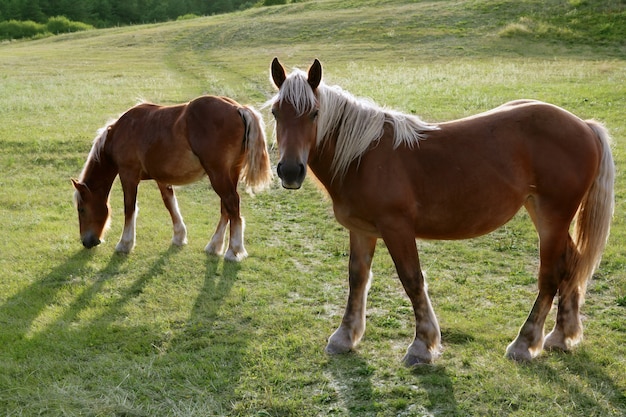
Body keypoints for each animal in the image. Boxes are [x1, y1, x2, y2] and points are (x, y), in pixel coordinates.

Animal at [71, 94, 270, 260]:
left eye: (81, 209)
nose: (87, 242)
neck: (122, 131)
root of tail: (238, 108)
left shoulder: (128, 175)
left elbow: (129, 208)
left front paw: (125, 244)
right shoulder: (162, 178)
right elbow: (170, 204)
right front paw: (179, 236)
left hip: (218, 175)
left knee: (232, 204)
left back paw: (233, 251)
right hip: (230, 173)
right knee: (226, 208)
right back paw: (214, 246)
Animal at [266, 58, 612, 364]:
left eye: (314, 113)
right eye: (275, 112)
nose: (290, 171)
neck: (362, 157)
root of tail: (585, 126)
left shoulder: (396, 228)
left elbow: (411, 279)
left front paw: (422, 346)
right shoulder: (362, 230)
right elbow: (357, 278)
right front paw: (344, 337)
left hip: (553, 217)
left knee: (549, 276)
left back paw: (524, 343)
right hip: (544, 215)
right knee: (572, 263)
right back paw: (561, 336)